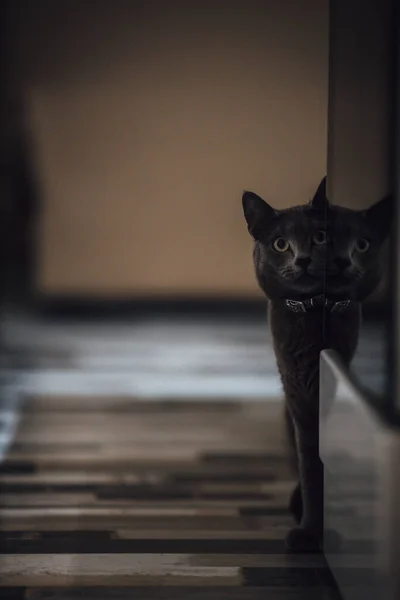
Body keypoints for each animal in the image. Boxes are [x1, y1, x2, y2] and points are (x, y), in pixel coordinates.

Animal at [242, 178, 392, 552]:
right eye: (280, 243)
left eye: (319, 237)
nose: (304, 259)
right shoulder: (298, 401)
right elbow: (311, 468)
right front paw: (309, 530)